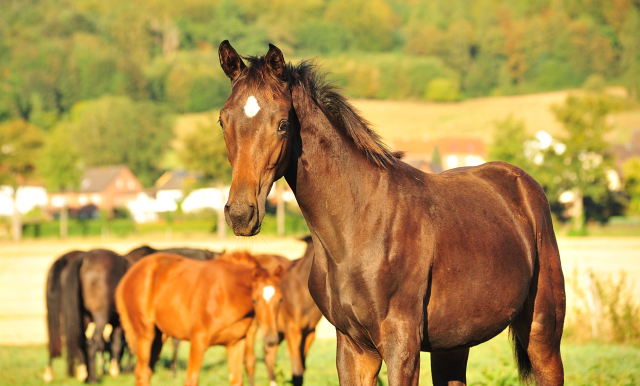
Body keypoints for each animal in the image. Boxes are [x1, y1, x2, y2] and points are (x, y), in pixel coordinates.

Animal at [115, 250, 284, 386]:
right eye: (254, 300)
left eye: (280, 299)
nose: (271, 340)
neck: (226, 294)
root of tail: (128, 275)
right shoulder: (198, 342)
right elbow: (191, 380)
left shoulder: (236, 343)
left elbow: (236, 381)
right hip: (145, 334)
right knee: (142, 372)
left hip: (158, 337)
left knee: (146, 372)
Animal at [248, 237, 322, 386]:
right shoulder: (292, 331)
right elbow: (297, 372)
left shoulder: (310, 332)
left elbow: (302, 368)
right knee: (251, 360)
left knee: (269, 353)